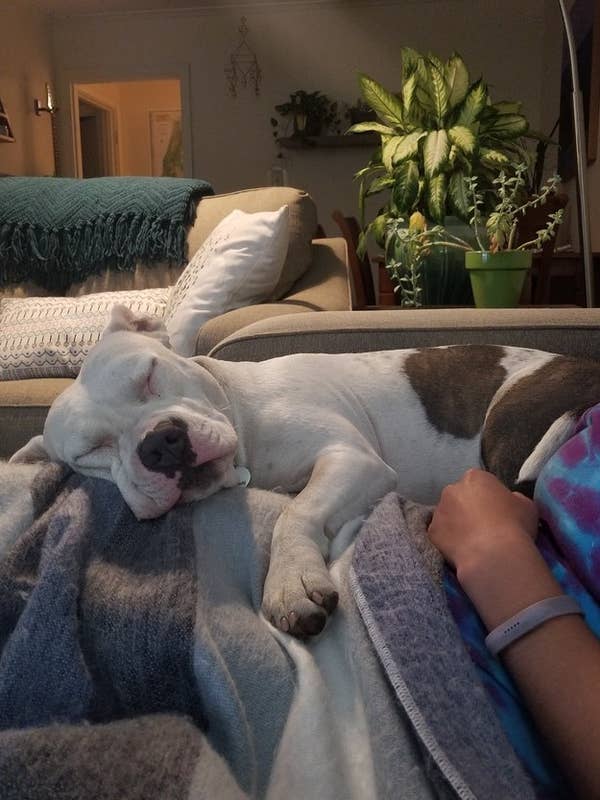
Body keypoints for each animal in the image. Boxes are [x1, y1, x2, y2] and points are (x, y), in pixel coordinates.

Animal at [11, 305, 600, 638]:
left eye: (150, 373)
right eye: (90, 452)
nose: (158, 444)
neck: (242, 418)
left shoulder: (352, 459)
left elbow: (294, 512)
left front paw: (290, 581)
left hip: (509, 424)